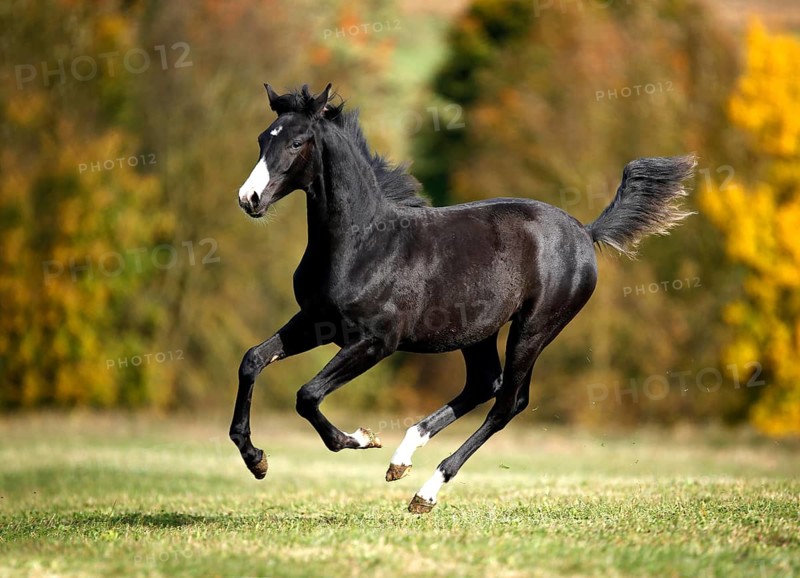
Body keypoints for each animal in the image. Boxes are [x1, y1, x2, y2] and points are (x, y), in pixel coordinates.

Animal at [229, 83, 695, 513]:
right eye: (261, 138)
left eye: (296, 142)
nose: (248, 199)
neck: (363, 243)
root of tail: (585, 231)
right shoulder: (315, 322)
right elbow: (253, 360)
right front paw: (255, 459)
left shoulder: (377, 341)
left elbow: (308, 394)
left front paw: (360, 438)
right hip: (478, 332)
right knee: (484, 383)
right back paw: (402, 459)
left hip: (534, 327)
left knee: (508, 402)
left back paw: (425, 491)